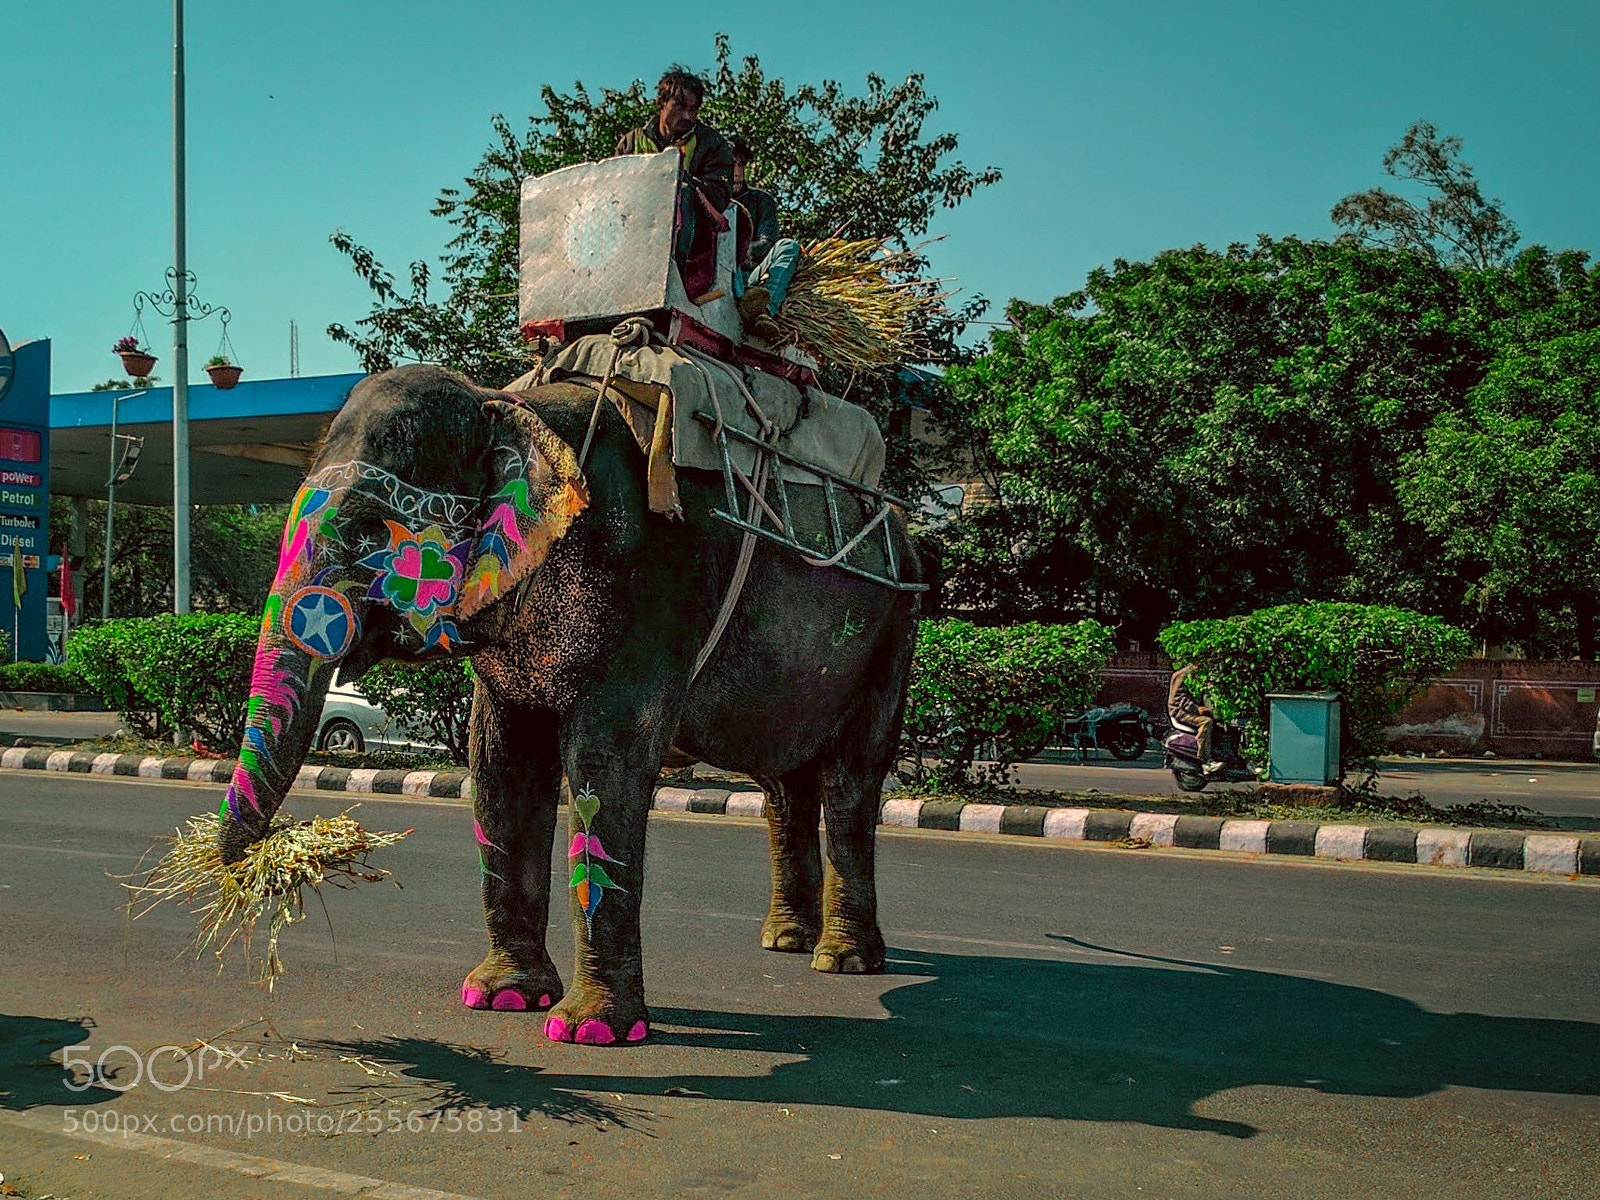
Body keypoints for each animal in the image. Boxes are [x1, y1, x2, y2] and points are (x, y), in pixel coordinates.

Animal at [218, 363, 923, 1046]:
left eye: (367, 528)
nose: (265, 856)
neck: (506, 403)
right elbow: (500, 761)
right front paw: (502, 998)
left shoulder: (649, 591)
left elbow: (603, 763)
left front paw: (590, 1031)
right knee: (783, 781)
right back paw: (785, 940)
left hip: (895, 630)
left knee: (851, 781)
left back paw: (842, 960)